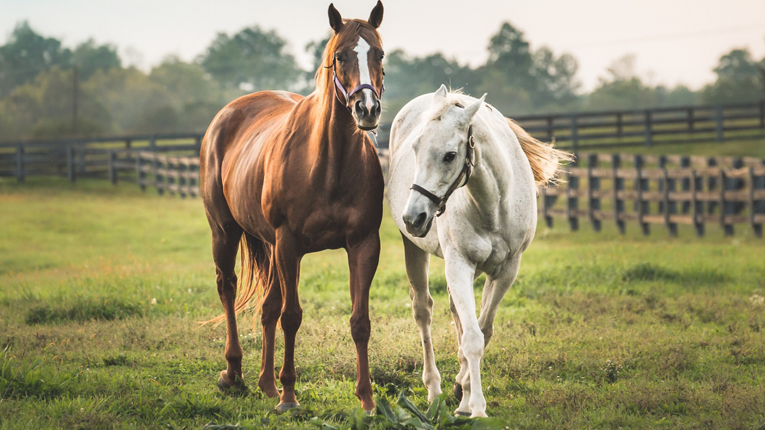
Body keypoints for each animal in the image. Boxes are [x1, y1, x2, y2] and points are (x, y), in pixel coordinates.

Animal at [200, 2, 384, 414]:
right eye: (340, 55)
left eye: (379, 54)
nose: (366, 109)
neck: (328, 163)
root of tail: (227, 113)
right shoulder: (289, 244)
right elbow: (292, 316)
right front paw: (288, 396)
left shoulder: (364, 245)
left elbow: (359, 321)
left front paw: (366, 399)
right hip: (226, 233)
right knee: (228, 288)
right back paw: (233, 373)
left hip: (270, 246)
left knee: (267, 306)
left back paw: (265, 383)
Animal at [384, 84, 572, 416]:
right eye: (416, 147)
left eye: (450, 155)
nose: (413, 218)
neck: (493, 205)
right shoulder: (460, 264)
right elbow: (473, 337)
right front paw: (477, 408)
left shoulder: (506, 271)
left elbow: (482, 331)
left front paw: (466, 394)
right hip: (415, 250)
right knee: (423, 311)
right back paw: (434, 390)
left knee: (457, 316)